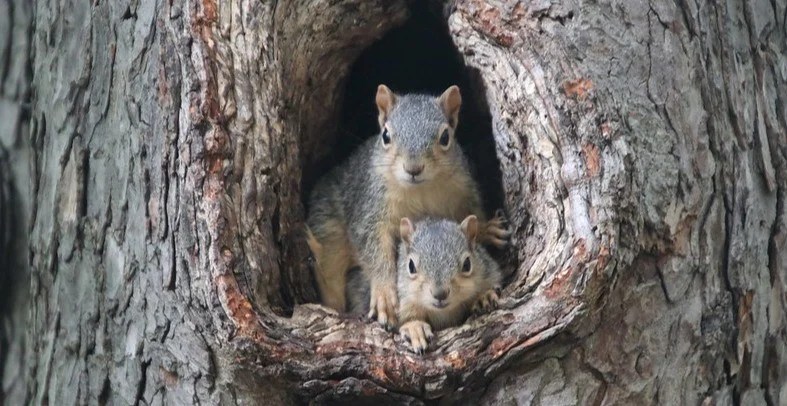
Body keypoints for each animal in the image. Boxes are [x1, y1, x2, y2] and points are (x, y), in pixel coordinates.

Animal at [306, 84, 509, 329]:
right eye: (385, 135)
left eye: (445, 137)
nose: (413, 169)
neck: (420, 190)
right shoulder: (370, 210)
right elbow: (375, 251)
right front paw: (384, 295)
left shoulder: (464, 189)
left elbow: (473, 218)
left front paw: (489, 229)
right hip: (328, 228)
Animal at [346, 215, 502, 354]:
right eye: (411, 266)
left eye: (467, 264)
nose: (440, 294)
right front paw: (415, 328)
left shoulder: (487, 270)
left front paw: (484, 297)